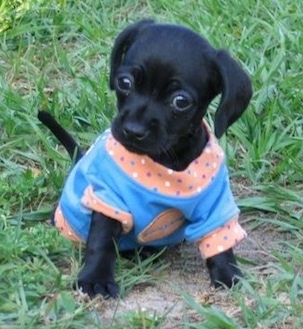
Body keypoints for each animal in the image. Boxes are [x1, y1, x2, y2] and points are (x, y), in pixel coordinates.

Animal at [38, 19, 253, 298]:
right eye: (124, 82)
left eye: (181, 101)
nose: (132, 130)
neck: (167, 161)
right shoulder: (108, 200)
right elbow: (101, 241)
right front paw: (95, 278)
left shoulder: (215, 205)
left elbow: (220, 243)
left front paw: (228, 274)